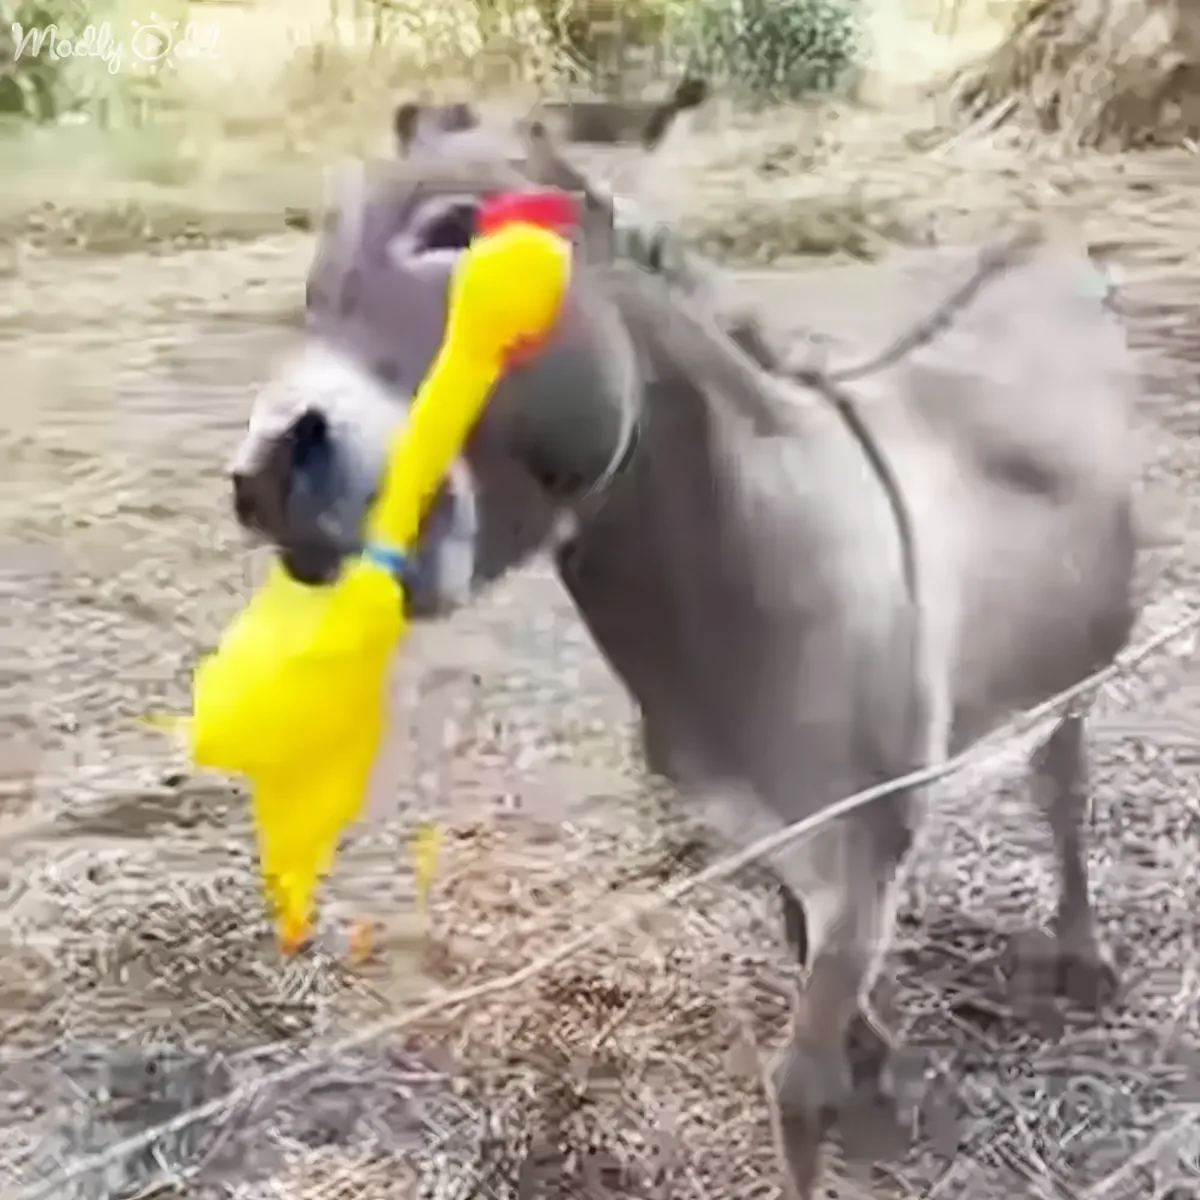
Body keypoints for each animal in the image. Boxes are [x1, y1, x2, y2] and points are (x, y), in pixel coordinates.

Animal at [227, 84, 1139, 1198]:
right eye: (318, 272)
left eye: (453, 231)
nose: (268, 476)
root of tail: (1035, 235)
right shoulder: (771, 838)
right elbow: (808, 972)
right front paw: (881, 1067)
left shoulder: (860, 851)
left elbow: (798, 1092)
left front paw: (857, 1091)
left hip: (1085, 666)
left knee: (1063, 786)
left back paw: (1083, 954)